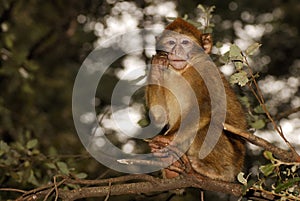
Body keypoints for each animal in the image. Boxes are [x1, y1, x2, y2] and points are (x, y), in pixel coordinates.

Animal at [145, 18, 246, 182]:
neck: (184, 70)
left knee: (208, 124)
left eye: (185, 42)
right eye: (171, 42)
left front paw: (167, 139)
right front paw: (157, 65)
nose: (176, 50)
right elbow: (159, 116)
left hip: (233, 158)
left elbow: (204, 107)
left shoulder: (207, 71)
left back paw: (216, 171)